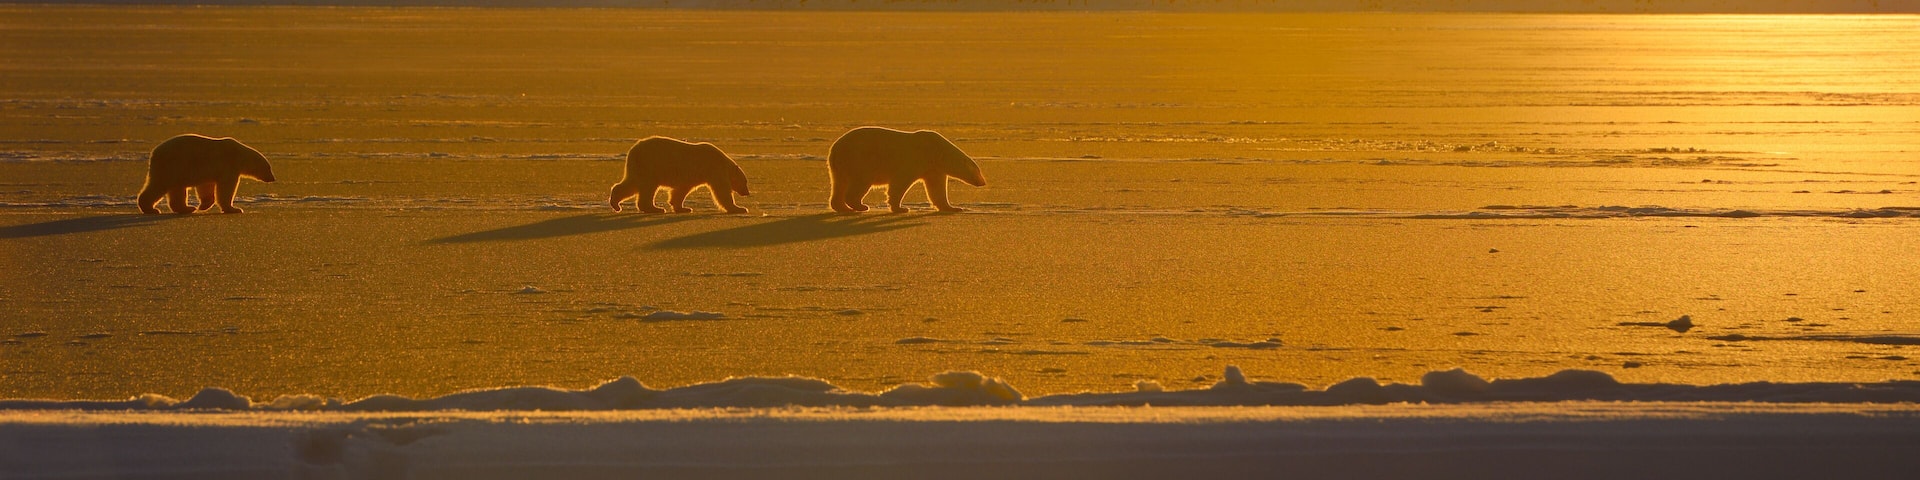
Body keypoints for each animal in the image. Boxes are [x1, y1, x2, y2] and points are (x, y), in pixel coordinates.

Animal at [136, 134, 277, 214]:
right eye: (268, 168)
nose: (273, 178)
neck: (239, 154)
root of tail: (154, 153)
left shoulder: (209, 171)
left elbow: (206, 186)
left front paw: (203, 205)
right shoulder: (229, 166)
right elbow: (226, 188)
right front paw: (234, 209)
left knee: (177, 190)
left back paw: (187, 208)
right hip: (172, 166)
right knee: (159, 185)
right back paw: (151, 208)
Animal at [609, 136, 750, 214]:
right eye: (745, 182)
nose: (747, 193)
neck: (723, 162)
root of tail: (633, 151)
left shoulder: (691, 176)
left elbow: (680, 190)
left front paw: (683, 208)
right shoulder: (714, 170)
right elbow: (722, 191)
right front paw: (739, 208)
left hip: (640, 167)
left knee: (632, 183)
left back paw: (616, 203)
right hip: (650, 165)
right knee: (647, 187)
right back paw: (655, 208)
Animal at [826, 127, 987, 213]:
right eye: (978, 171)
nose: (983, 182)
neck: (936, 152)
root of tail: (835, 148)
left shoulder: (933, 168)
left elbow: (937, 188)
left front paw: (953, 208)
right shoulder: (914, 161)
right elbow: (899, 183)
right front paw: (901, 208)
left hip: (840, 166)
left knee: (839, 184)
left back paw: (842, 207)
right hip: (860, 160)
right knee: (860, 182)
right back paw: (861, 206)